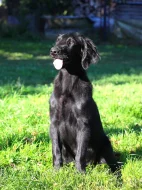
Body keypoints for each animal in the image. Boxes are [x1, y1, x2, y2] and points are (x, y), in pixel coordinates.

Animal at [49, 32, 119, 172]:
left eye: (71, 42)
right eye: (58, 40)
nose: (53, 51)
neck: (68, 83)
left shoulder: (83, 124)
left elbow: (80, 153)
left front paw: (80, 173)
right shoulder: (54, 122)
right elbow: (56, 150)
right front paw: (56, 171)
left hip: (106, 146)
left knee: (114, 167)